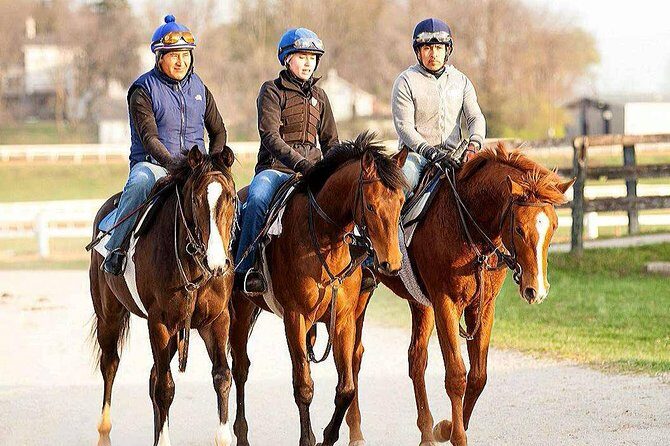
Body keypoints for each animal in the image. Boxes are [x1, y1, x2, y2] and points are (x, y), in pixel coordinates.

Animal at [89, 146, 238, 446]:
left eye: (229, 196)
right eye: (196, 198)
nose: (218, 264)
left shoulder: (216, 320)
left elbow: (222, 377)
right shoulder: (160, 323)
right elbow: (165, 388)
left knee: (152, 375)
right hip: (108, 315)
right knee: (110, 364)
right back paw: (104, 432)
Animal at [228, 133, 409, 446]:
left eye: (400, 201)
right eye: (371, 206)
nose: (392, 263)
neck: (325, 240)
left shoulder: (343, 320)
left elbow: (346, 387)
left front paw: (328, 436)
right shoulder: (295, 318)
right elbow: (304, 386)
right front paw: (308, 438)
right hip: (241, 309)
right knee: (240, 368)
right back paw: (240, 435)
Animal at [344, 142, 574, 446]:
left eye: (554, 226)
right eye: (518, 228)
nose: (536, 289)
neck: (467, 224)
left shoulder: (482, 307)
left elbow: (478, 377)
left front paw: (445, 428)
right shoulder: (446, 304)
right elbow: (456, 375)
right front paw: (456, 434)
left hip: (421, 305)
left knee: (416, 359)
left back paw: (426, 433)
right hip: (361, 294)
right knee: (354, 356)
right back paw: (356, 431)